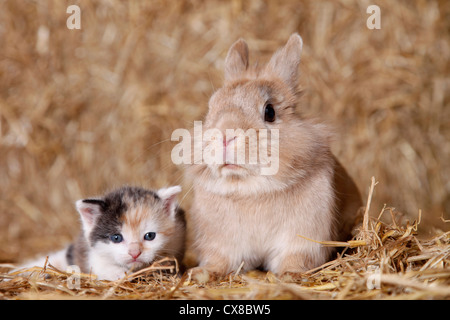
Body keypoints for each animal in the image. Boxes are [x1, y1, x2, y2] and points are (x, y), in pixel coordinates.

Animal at [14, 185, 185, 280]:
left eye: (150, 236)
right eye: (116, 238)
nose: (134, 253)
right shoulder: (91, 254)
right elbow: (101, 266)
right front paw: (118, 273)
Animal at [186, 33, 362, 280]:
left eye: (269, 111)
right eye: (211, 109)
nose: (225, 135)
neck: (252, 189)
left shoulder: (301, 239)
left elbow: (295, 259)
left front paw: (289, 275)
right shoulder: (222, 244)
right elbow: (220, 261)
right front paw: (201, 274)